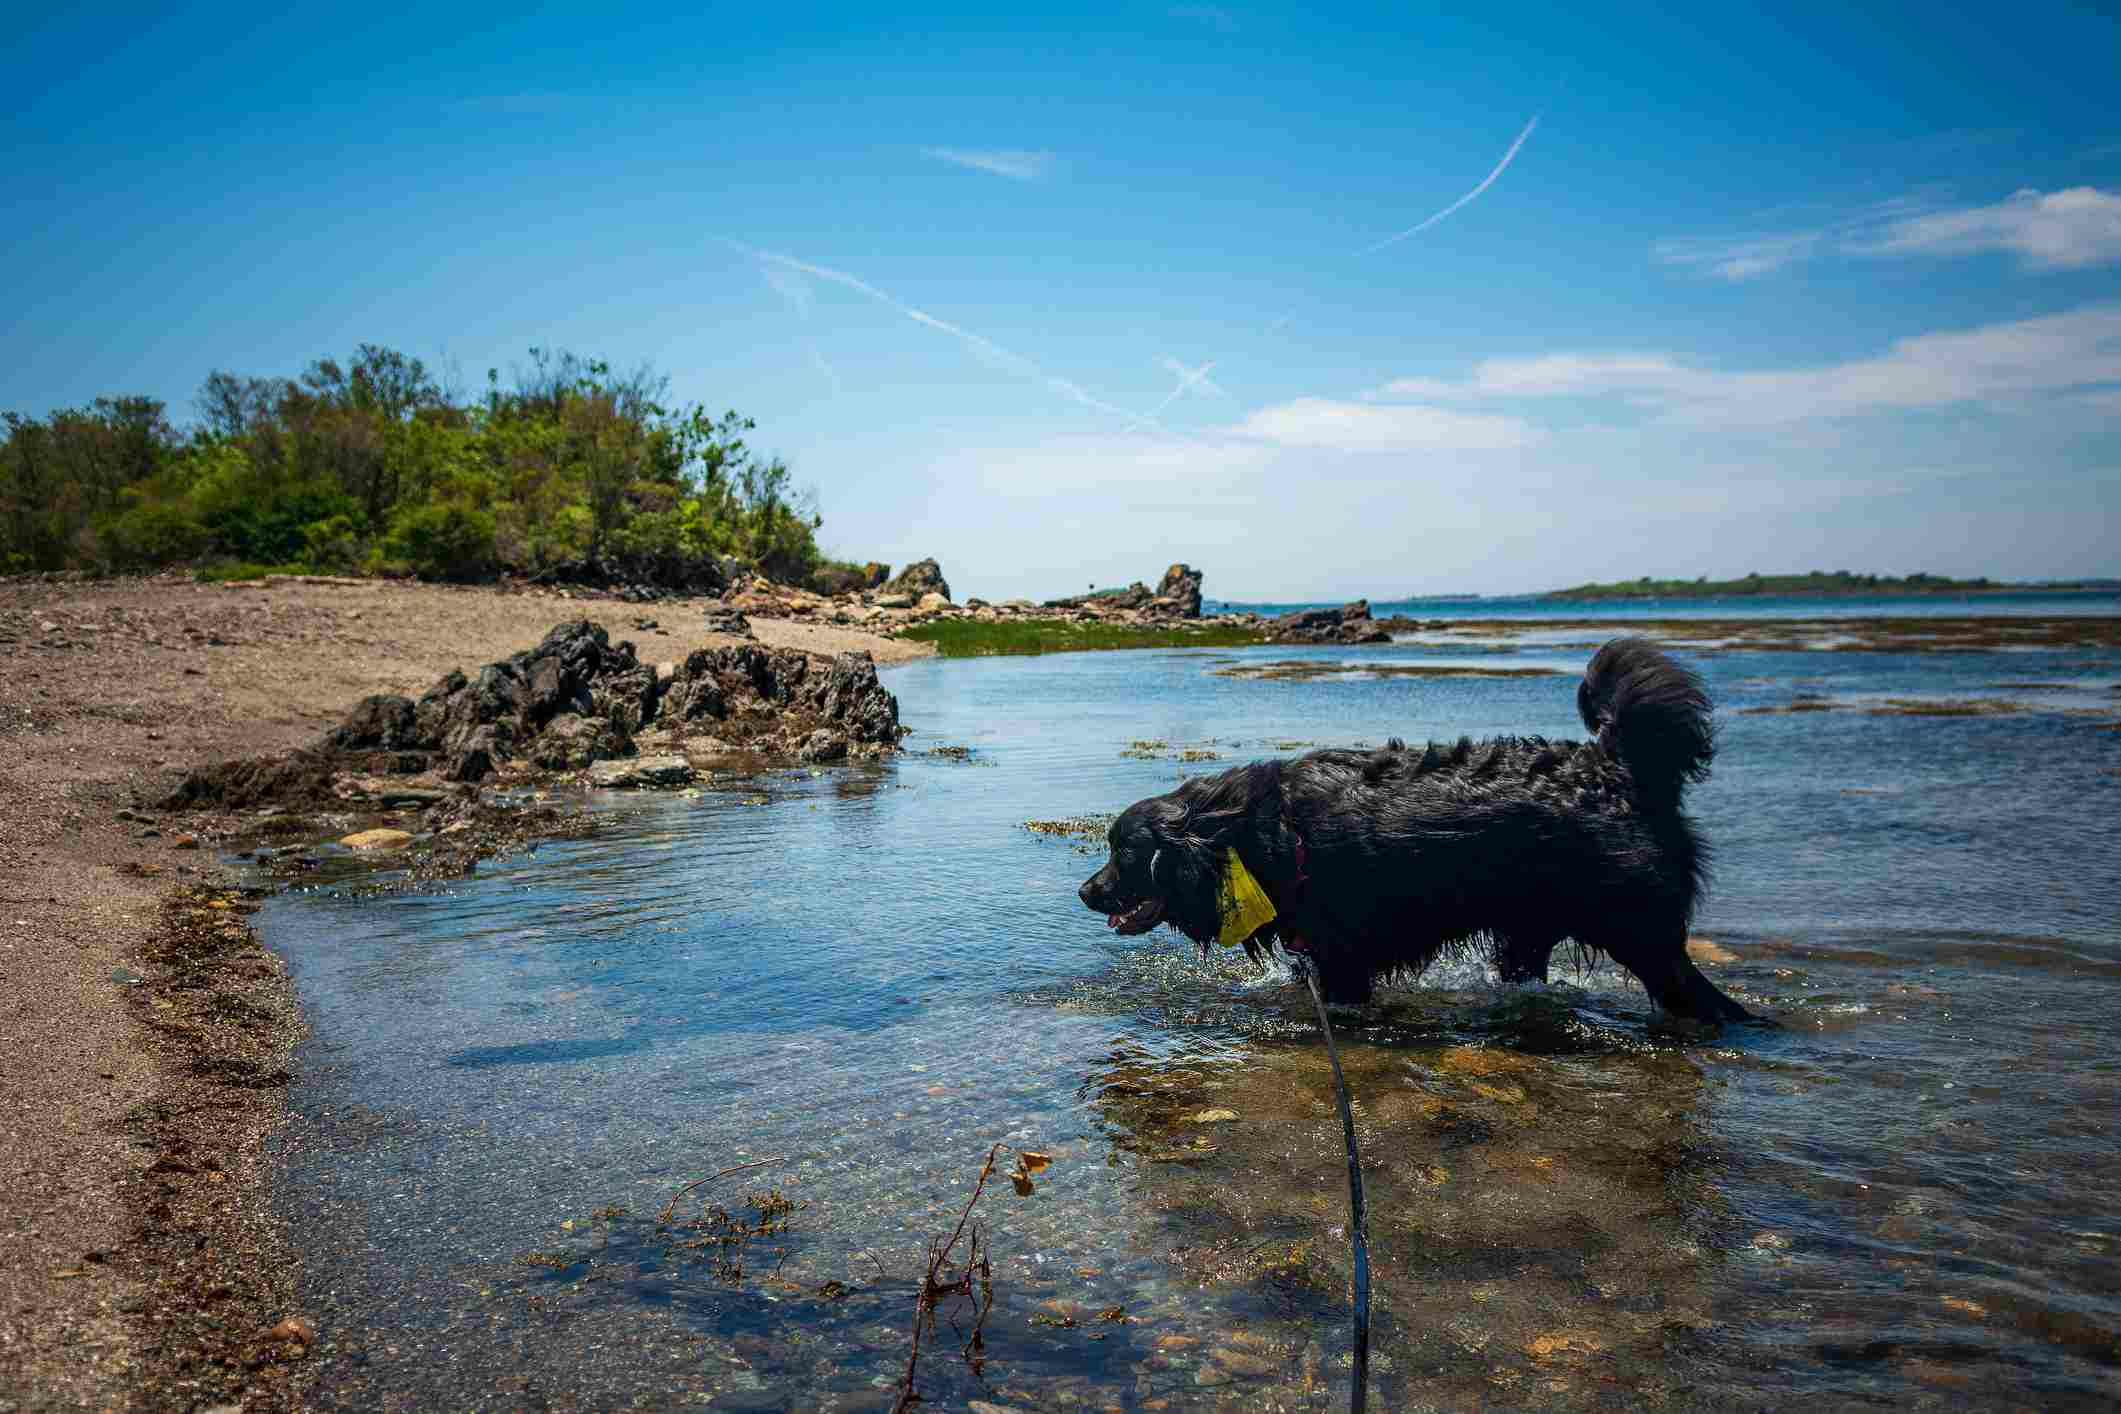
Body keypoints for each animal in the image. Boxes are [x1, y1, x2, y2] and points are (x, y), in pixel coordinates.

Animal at [1085, 635, 1747, 1021]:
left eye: (1126, 852)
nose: (1086, 892)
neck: (1251, 833)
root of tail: (1616, 766)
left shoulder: (1343, 960)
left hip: (1641, 933)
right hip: (1531, 934)